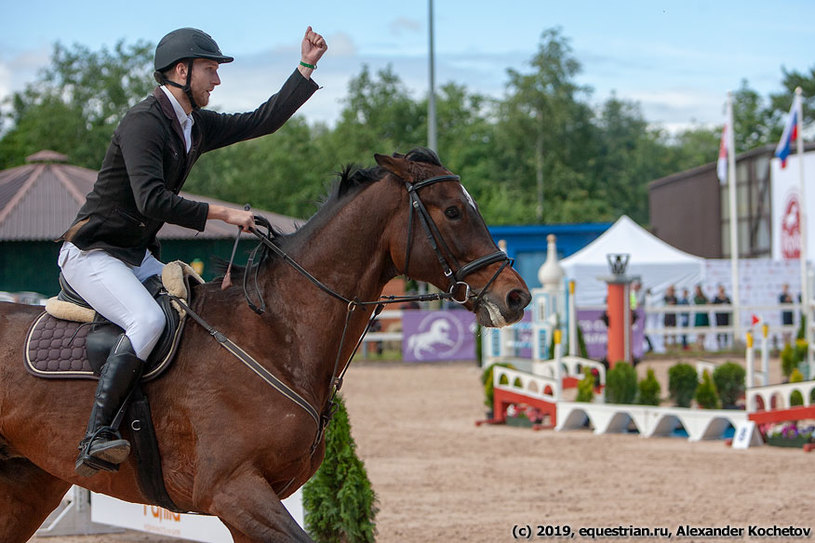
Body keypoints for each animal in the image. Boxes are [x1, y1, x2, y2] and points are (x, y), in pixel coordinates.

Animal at [0, 147, 528, 540]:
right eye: (453, 211)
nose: (516, 297)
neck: (276, 335)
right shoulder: (233, 491)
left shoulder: (250, 502)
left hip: (28, 483)